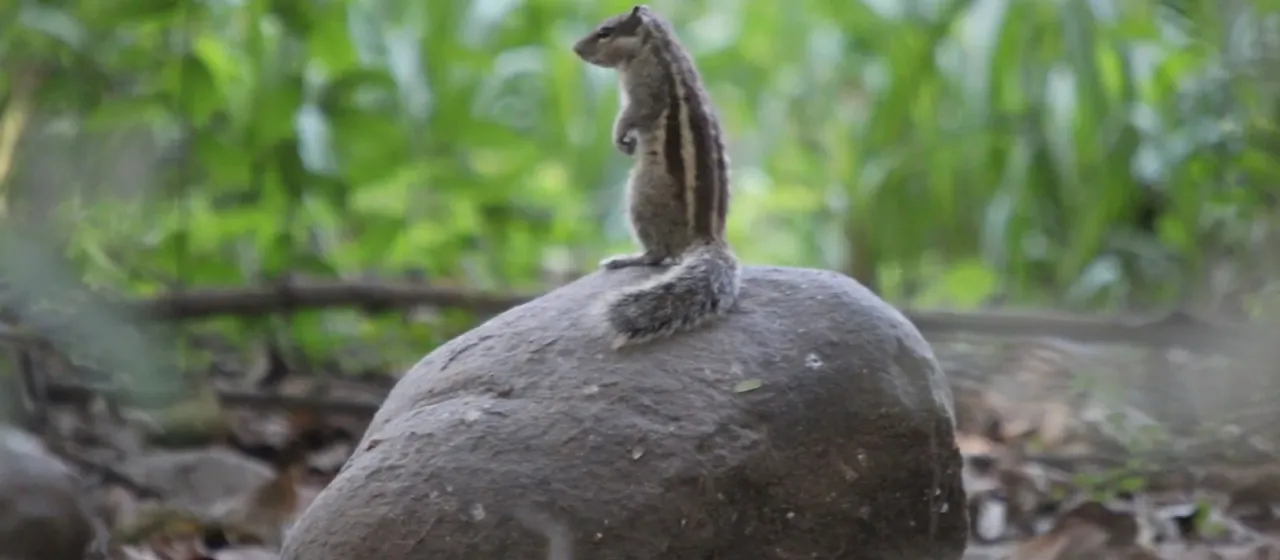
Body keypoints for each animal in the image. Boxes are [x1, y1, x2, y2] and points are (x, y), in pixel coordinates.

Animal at [573, 5, 741, 349]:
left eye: (605, 32)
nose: (575, 49)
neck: (655, 44)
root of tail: (710, 236)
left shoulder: (645, 88)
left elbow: (631, 115)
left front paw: (621, 139)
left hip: (640, 194)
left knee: (658, 254)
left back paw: (626, 259)